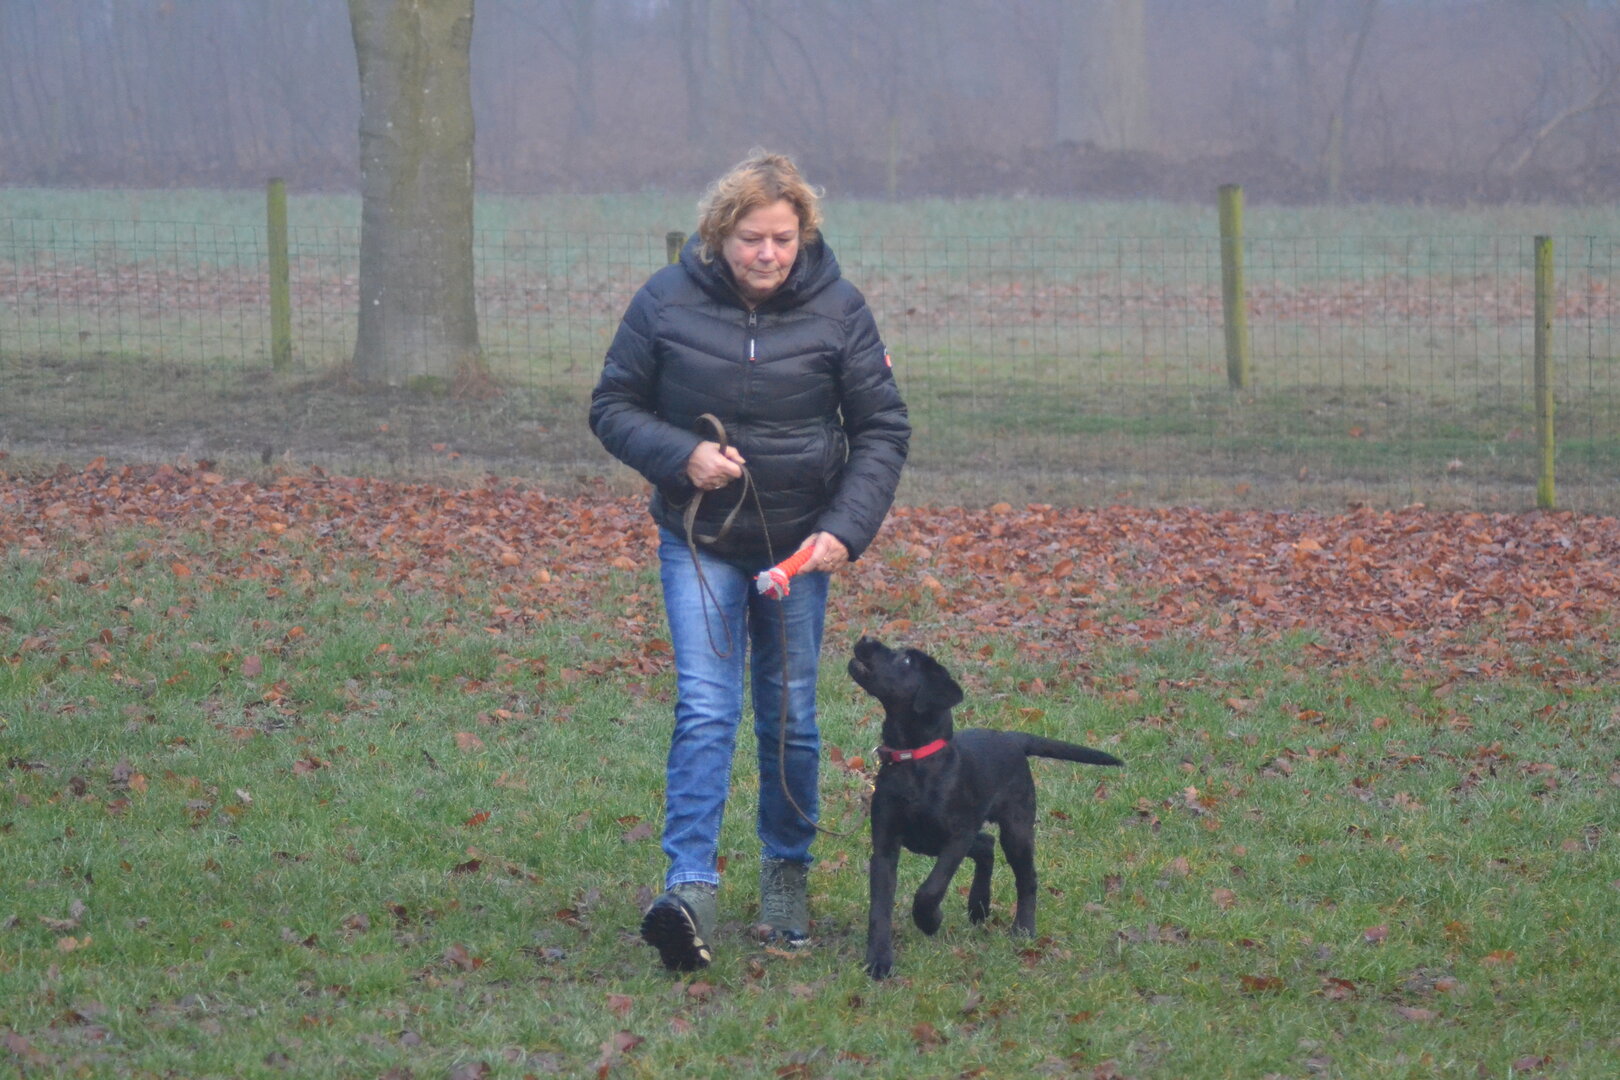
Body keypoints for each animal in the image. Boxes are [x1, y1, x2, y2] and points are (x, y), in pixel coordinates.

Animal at [847, 636, 1122, 979]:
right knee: (986, 845)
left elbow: (930, 888)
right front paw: (879, 961)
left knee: (1025, 875)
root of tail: (1013, 739)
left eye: (907, 661)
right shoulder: (885, 845)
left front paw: (929, 920)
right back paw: (979, 906)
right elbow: (880, 906)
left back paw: (1023, 929)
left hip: (1016, 827)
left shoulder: (956, 836)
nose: (865, 639)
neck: (914, 760)